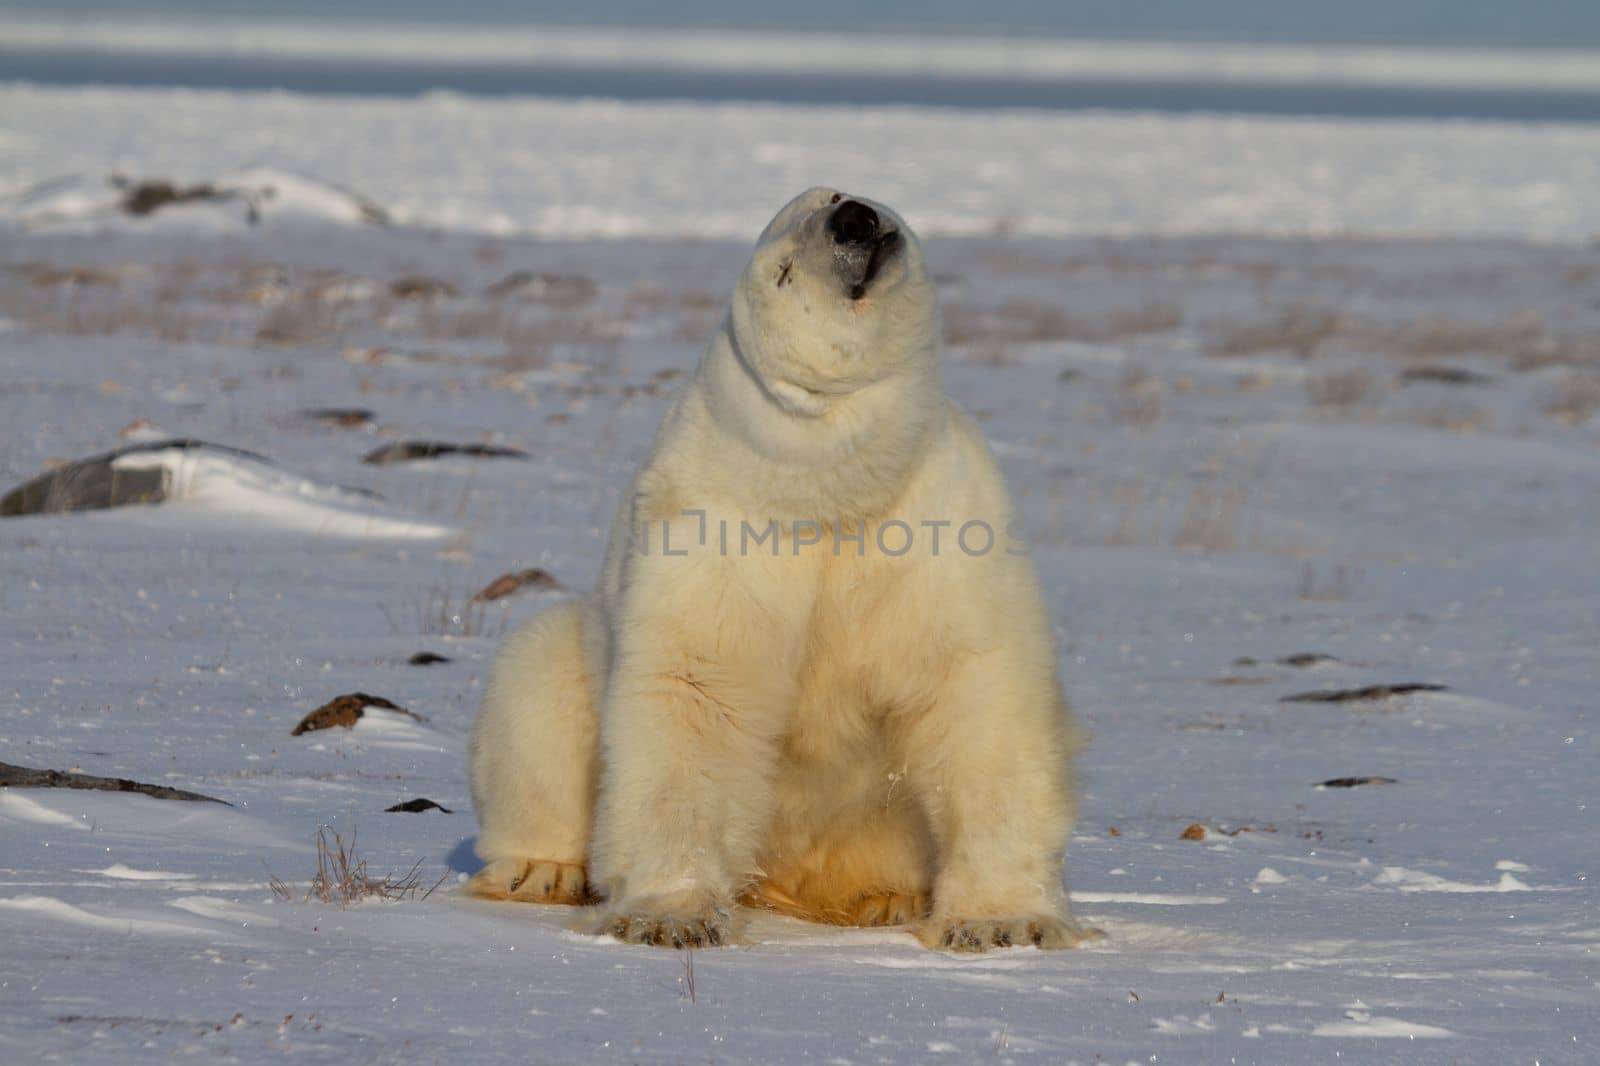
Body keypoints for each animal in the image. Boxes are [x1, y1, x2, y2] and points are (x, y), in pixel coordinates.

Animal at [460, 186, 1088, 947]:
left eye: (834, 195)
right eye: (785, 272)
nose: (855, 220)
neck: (827, 485)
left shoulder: (942, 511)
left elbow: (973, 683)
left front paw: (1004, 923)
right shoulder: (716, 531)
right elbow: (697, 686)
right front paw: (671, 916)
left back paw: (889, 899)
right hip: (569, 668)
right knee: (536, 680)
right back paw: (539, 870)